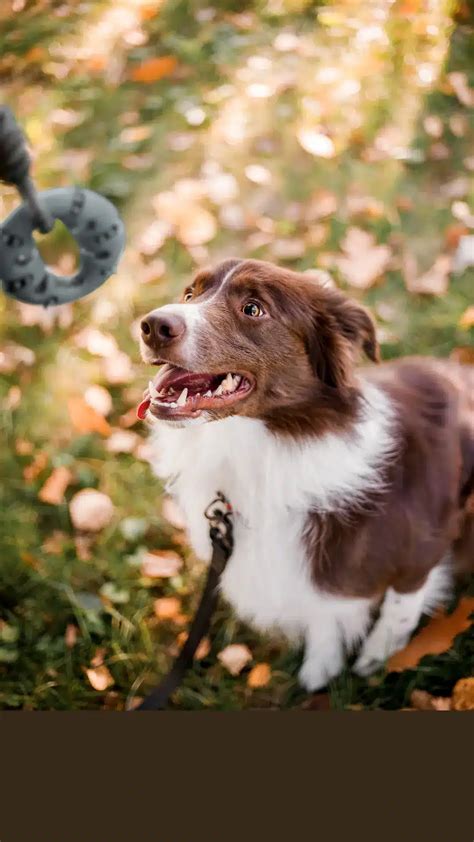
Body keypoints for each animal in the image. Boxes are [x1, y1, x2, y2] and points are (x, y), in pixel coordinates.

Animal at [138, 258, 474, 688]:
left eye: (253, 308)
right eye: (189, 294)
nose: (151, 325)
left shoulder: (422, 549)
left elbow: (397, 610)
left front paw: (374, 660)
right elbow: (322, 613)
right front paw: (323, 665)